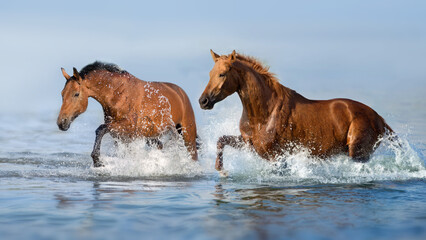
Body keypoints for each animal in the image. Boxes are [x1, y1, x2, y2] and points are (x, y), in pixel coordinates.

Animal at [56, 62, 198, 167]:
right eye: (62, 93)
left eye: (76, 94)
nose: (61, 122)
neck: (118, 93)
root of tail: (180, 93)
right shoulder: (122, 135)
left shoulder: (128, 127)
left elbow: (100, 129)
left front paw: (98, 162)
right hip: (152, 136)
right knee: (160, 146)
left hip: (187, 134)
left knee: (193, 155)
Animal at [200, 49, 392, 172]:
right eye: (210, 73)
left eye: (222, 74)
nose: (203, 101)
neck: (264, 115)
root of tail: (380, 119)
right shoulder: (249, 144)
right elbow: (221, 140)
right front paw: (220, 168)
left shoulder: (275, 155)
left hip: (358, 152)